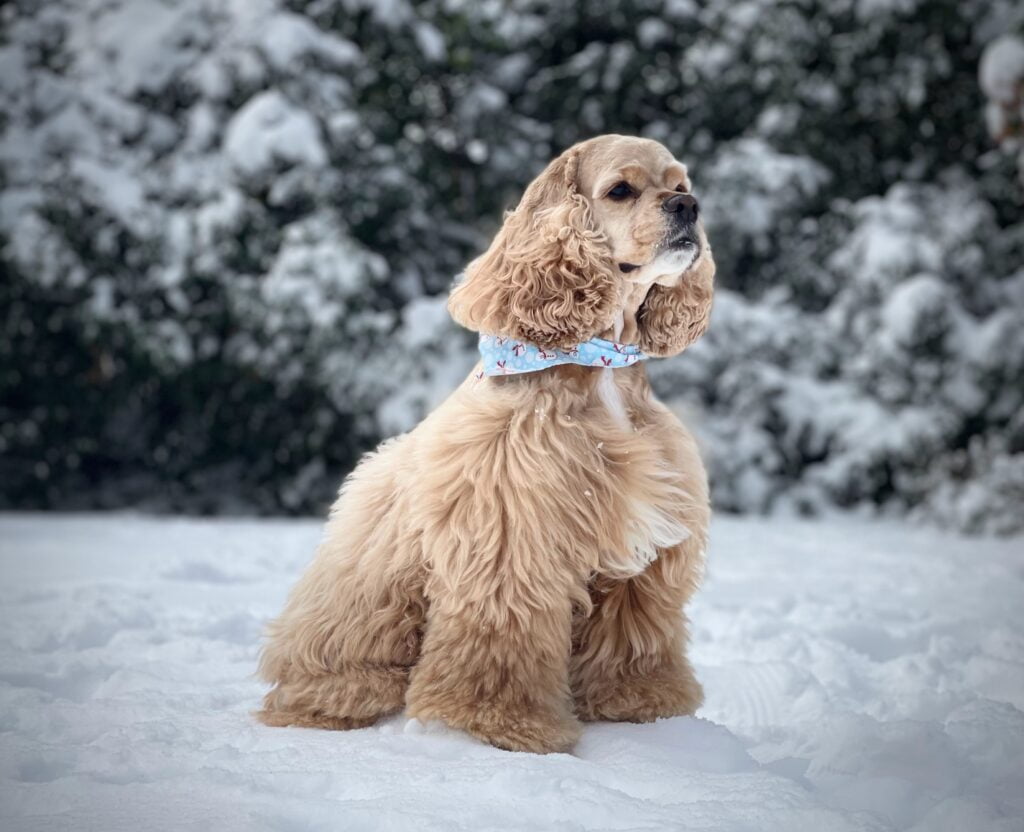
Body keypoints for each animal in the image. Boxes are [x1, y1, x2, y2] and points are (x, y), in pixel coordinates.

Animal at [258, 131, 712, 754]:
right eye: (620, 190)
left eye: (681, 184)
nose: (689, 207)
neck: (600, 365)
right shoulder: (512, 533)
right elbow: (501, 638)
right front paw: (500, 724)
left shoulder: (644, 546)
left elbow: (634, 631)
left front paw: (643, 703)